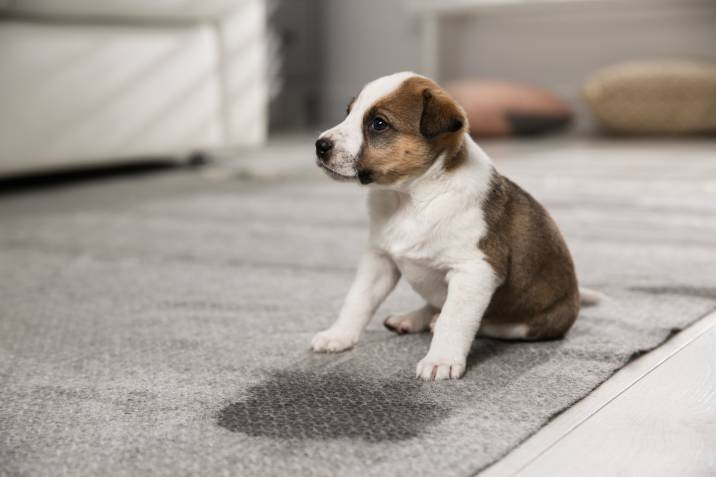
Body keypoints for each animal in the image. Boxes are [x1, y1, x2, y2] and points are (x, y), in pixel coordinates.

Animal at [310, 72, 596, 382]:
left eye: (378, 123)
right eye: (348, 112)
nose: (320, 145)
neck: (411, 198)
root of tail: (575, 298)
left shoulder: (475, 271)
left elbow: (454, 319)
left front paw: (441, 360)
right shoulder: (379, 260)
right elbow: (357, 300)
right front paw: (339, 335)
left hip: (533, 322)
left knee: (496, 325)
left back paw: (440, 323)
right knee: (434, 304)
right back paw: (411, 319)